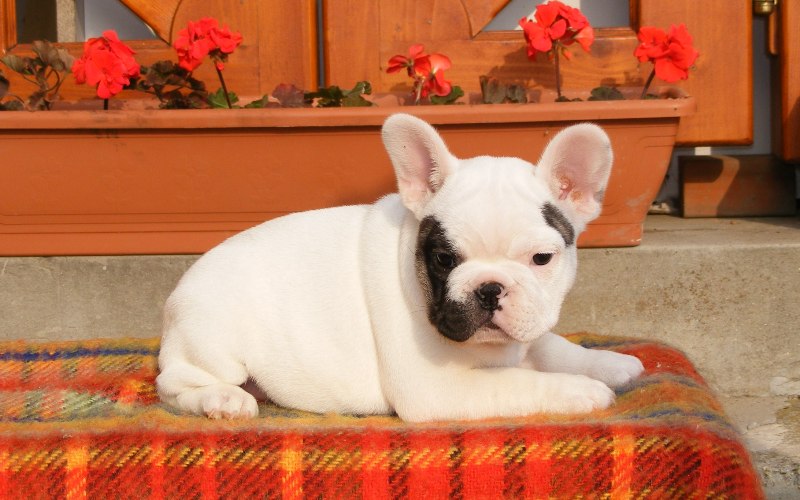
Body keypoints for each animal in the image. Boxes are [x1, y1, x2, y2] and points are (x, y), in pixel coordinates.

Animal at [156, 112, 644, 422]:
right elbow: (523, 383)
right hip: (214, 344)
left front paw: (607, 363)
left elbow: (551, 346)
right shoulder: (437, 388)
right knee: (175, 383)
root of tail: (177, 296)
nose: (489, 288)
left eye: (541, 259)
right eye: (444, 259)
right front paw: (580, 390)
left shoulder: (529, 329)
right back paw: (223, 401)